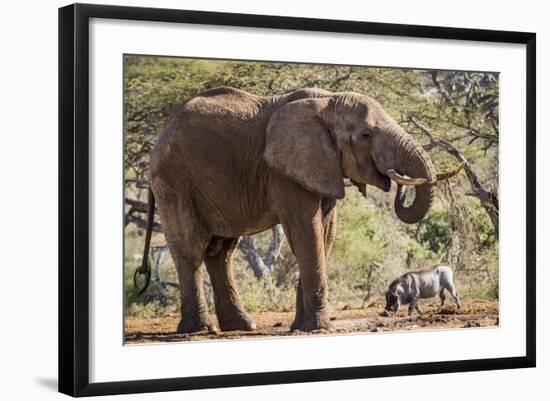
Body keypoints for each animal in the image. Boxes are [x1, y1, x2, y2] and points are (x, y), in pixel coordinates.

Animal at [136, 86, 464, 332]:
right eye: (366, 135)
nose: (395, 180)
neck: (327, 101)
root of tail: (160, 136)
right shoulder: (283, 171)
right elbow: (306, 230)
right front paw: (319, 328)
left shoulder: (323, 165)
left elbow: (325, 234)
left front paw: (301, 327)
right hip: (174, 180)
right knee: (191, 249)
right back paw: (201, 330)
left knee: (221, 253)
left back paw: (242, 326)